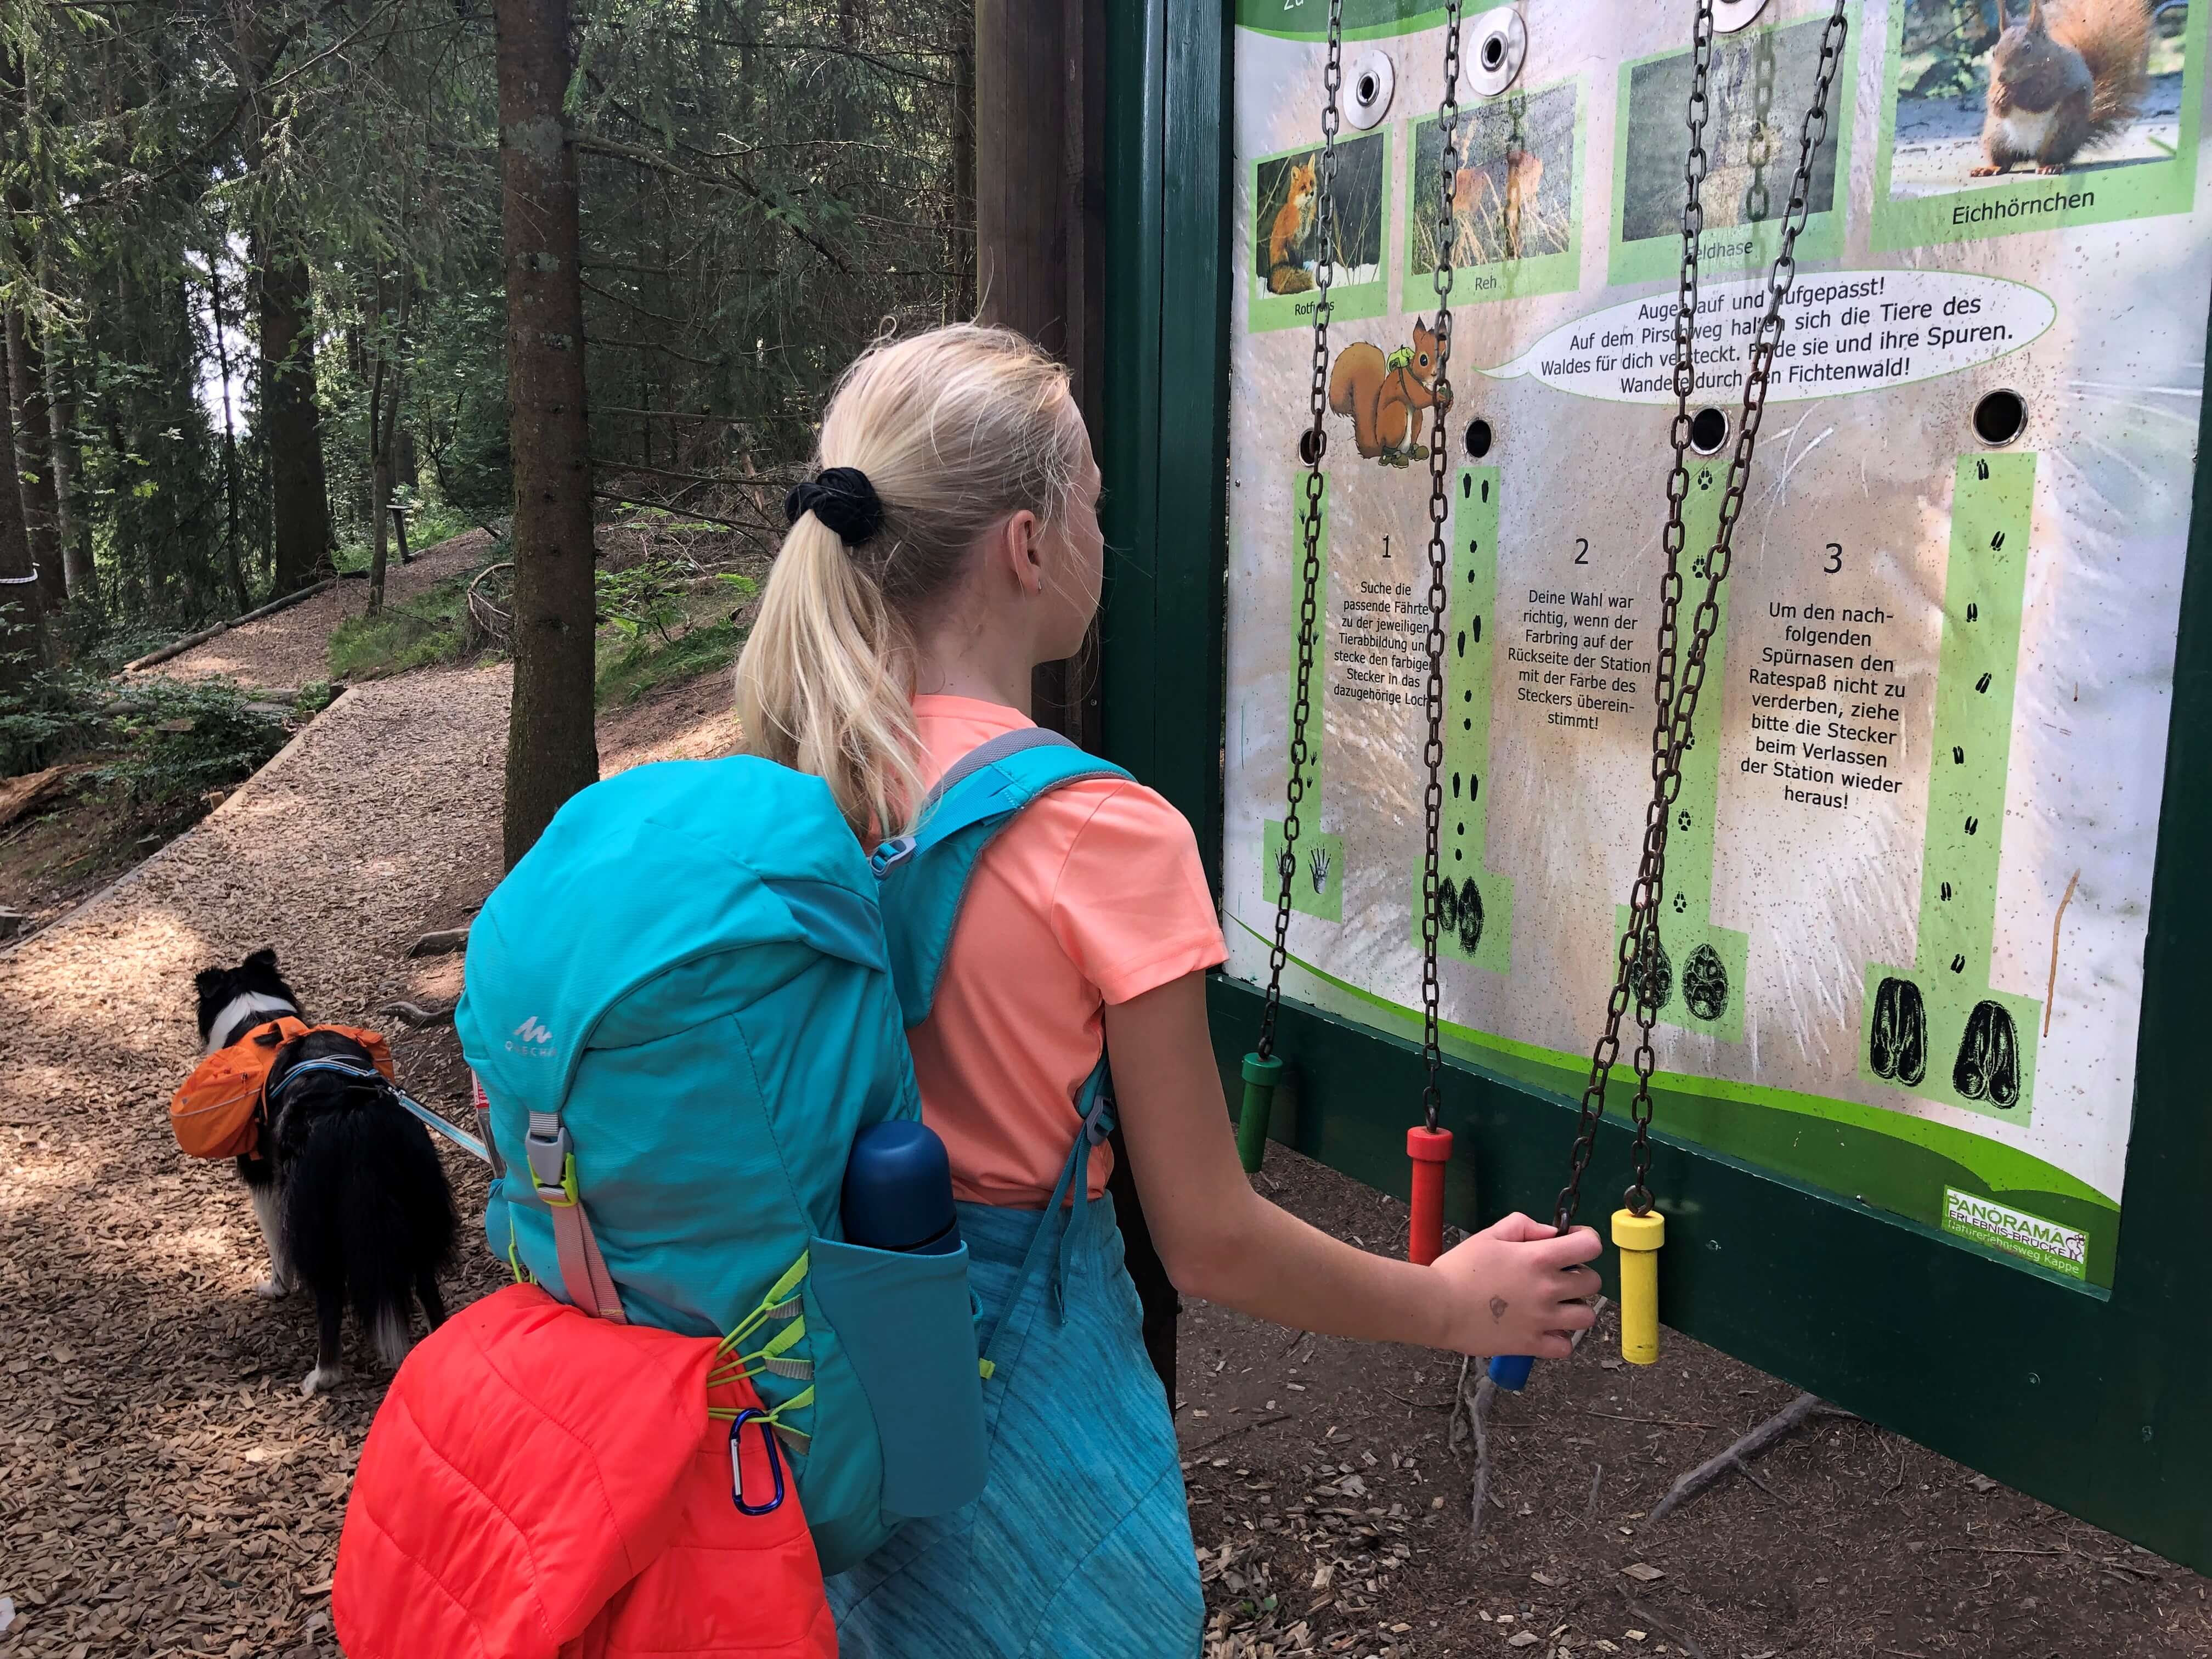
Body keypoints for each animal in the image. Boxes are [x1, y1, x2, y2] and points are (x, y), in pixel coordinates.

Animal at [194, 955, 458, 1398]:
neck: (257, 1016)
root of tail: (353, 1113)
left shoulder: (267, 1183)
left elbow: (275, 1246)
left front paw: (275, 1287)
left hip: (317, 1222)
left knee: (330, 1297)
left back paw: (321, 1376)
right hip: (419, 1203)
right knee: (426, 1284)